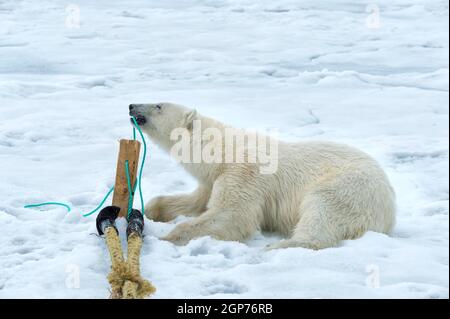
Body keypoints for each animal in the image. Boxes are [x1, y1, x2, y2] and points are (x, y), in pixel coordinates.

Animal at [128, 102, 396, 250]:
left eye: (158, 105)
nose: (131, 105)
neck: (222, 151)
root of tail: (390, 206)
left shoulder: (244, 172)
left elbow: (232, 214)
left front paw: (167, 237)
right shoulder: (212, 179)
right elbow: (195, 202)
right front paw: (150, 210)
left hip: (349, 187)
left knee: (322, 210)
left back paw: (279, 245)